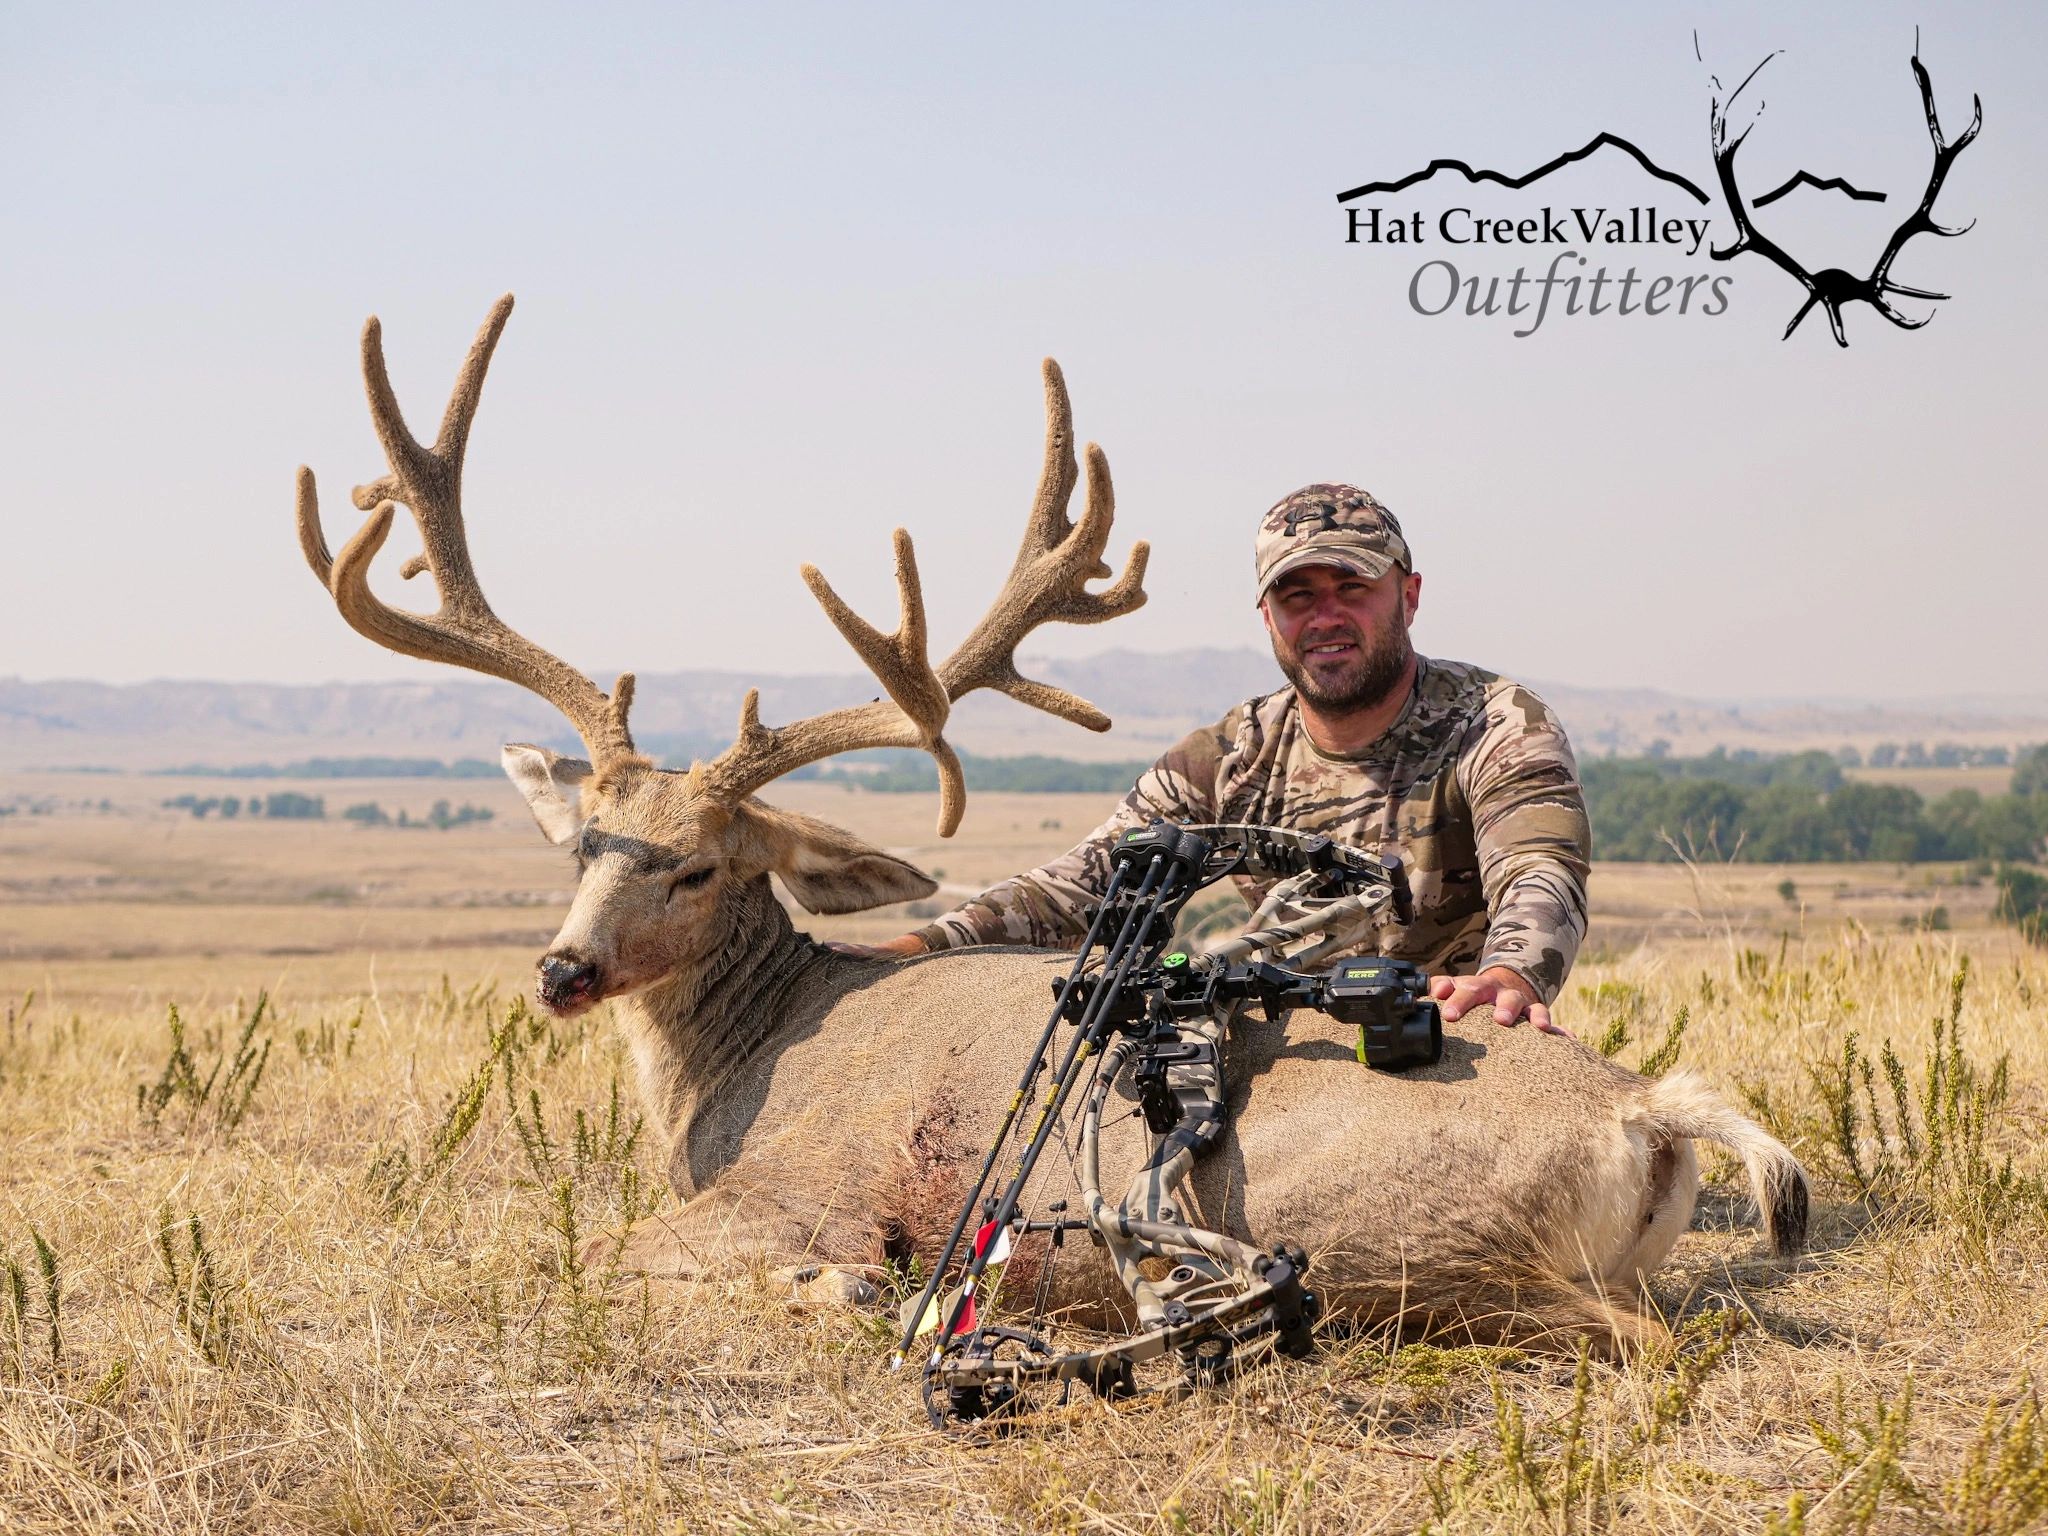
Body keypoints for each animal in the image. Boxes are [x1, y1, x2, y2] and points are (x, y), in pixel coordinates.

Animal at [292, 294, 1810, 1351]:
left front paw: (843, 1288)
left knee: (1627, 1337)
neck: (741, 1063)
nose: (563, 970)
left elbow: (590, 1253)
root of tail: (1647, 1114)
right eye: (582, 839)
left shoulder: (804, 1186)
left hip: (1404, 1247)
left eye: (704, 864)